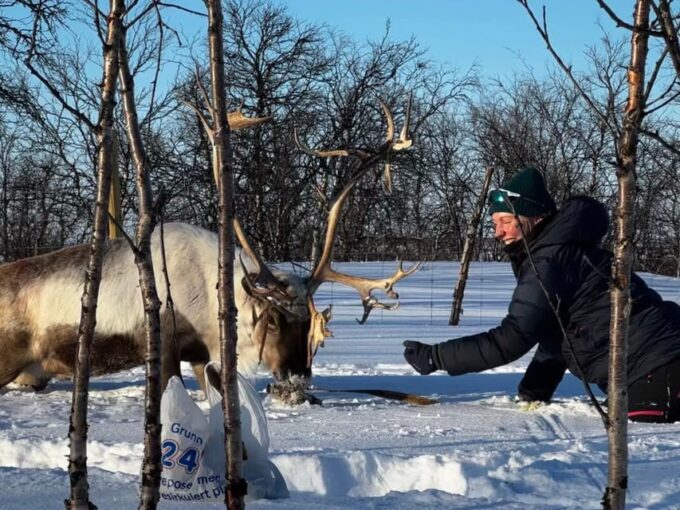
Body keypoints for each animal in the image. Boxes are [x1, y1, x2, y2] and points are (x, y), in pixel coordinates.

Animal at [0, 99, 418, 396]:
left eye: (309, 319)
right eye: (272, 318)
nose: (297, 378)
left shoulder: (201, 356)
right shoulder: (165, 345)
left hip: (32, 374)